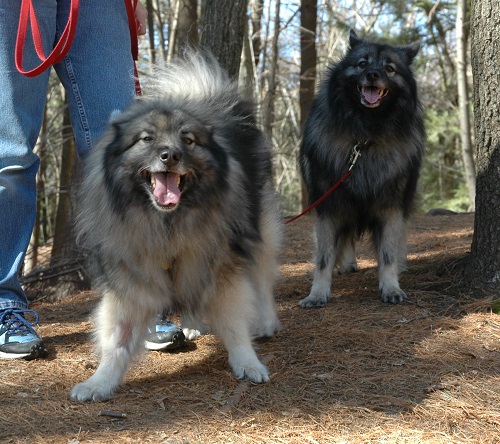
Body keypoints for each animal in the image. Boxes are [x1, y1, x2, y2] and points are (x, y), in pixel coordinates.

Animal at [70, 52, 282, 402]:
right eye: (146, 139)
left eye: (189, 140)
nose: (170, 155)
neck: (167, 222)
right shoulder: (132, 277)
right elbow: (118, 341)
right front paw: (100, 382)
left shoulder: (221, 264)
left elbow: (234, 322)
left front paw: (247, 362)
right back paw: (195, 323)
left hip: (258, 228)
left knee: (263, 278)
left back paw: (266, 321)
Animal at [298, 30, 424, 308]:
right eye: (362, 63)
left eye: (390, 68)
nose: (373, 74)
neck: (365, 137)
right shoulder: (330, 207)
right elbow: (323, 258)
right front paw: (317, 293)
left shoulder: (391, 208)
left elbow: (387, 254)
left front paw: (391, 287)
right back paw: (347, 263)